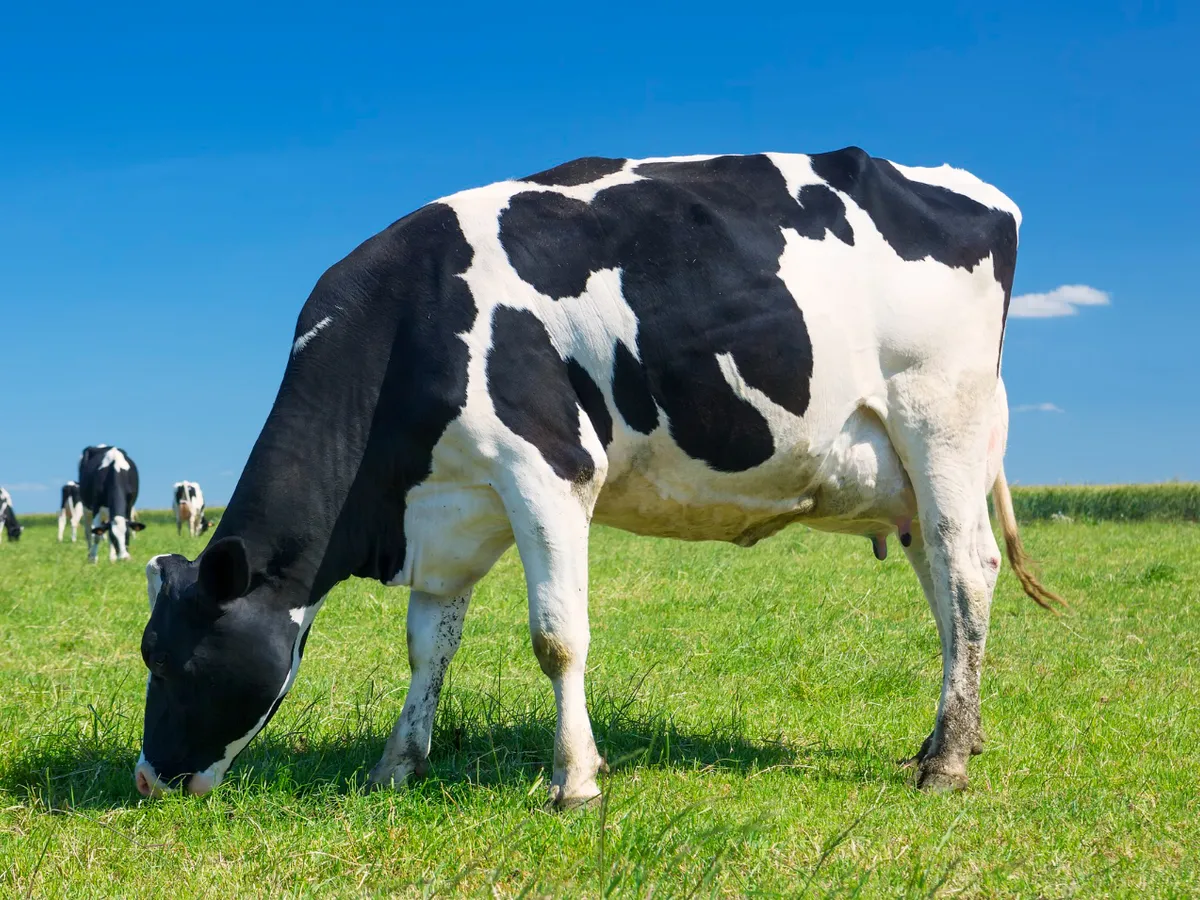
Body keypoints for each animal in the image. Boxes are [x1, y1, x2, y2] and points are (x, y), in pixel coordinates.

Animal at [135, 148, 1061, 805]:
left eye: (172, 662)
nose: (146, 779)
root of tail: (970, 188)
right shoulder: (450, 507)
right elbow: (427, 645)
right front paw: (396, 765)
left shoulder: (547, 471)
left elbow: (556, 637)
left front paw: (573, 781)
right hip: (907, 475)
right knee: (943, 588)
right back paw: (952, 736)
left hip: (939, 423)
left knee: (968, 573)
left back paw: (946, 763)